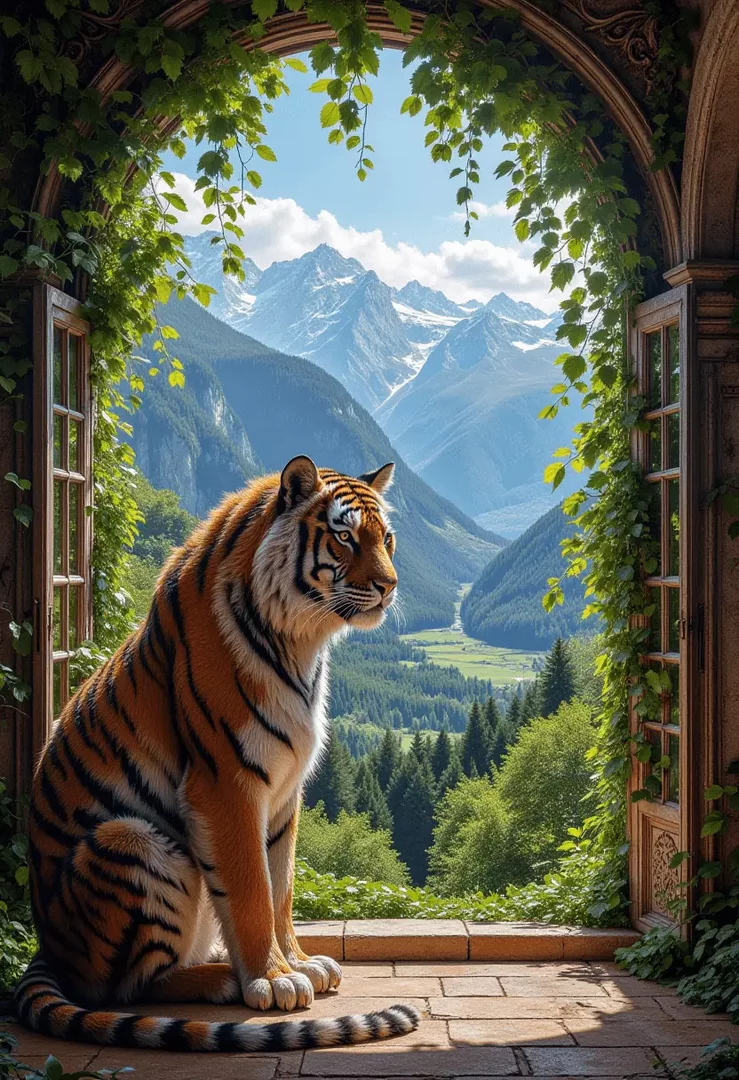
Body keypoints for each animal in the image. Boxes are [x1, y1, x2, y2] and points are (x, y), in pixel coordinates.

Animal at [14, 455, 420, 1053]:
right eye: (345, 537)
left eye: (386, 538)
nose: (390, 587)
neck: (302, 641)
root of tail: (47, 948)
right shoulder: (227, 783)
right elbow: (252, 889)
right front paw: (274, 980)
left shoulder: (284, 792)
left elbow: (281, 886)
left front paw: (301, 962)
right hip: (130, 842)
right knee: (122, 988)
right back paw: (221, 978)